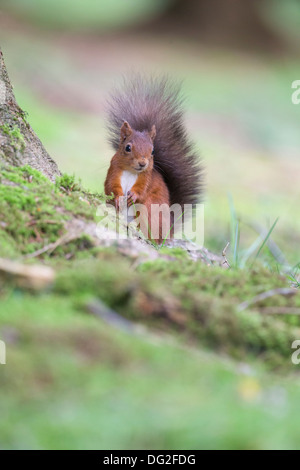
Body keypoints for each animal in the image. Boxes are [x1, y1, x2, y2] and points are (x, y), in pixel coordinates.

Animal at [103, 76, 204, 242]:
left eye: (153, 150)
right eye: (128, 148)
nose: (143, 163)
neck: (131, 172)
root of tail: (170, 230)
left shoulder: (147, 178)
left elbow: (142, 190)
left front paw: (134, 195)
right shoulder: (113, 171)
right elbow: (111, 186)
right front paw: (118, 197)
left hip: (150, 211)